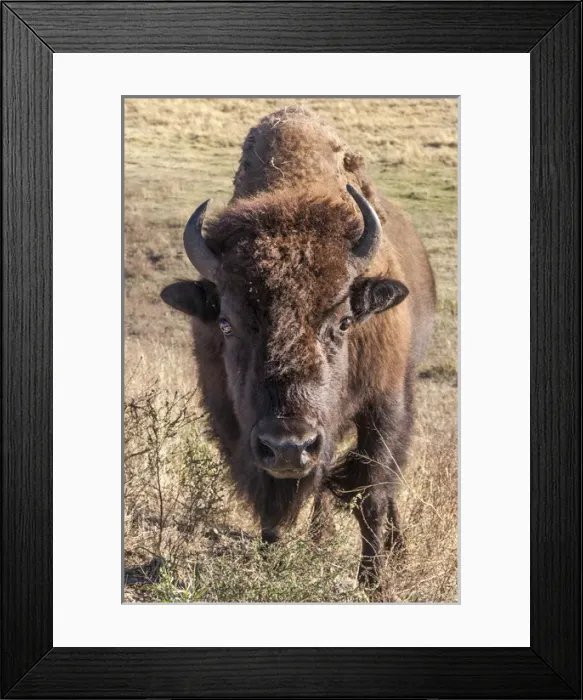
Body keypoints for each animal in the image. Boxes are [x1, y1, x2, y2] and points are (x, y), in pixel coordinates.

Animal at [161, 106, 436, 585]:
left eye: (344, 322)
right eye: (227, 324)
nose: (289, 445)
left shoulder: (386, 405)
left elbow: (373, 494)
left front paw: (373, 581)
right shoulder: (233, 421)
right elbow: (272, 504)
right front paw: (273, 559)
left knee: (383, 487)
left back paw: (396, 550)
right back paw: (319, 538)